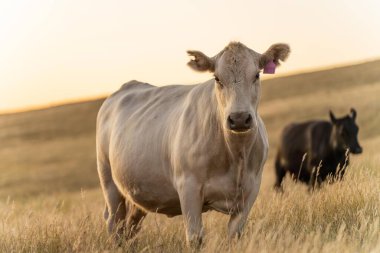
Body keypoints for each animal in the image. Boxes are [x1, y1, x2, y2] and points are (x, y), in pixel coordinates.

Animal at [96, 41, 290, 245]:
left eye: (256, 75)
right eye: (217, 78)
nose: (239, 118)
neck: (236, 155)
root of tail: (128, 86)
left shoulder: (251, 190)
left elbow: (234, 235)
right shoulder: (188, 187)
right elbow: (195, 237)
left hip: (137, 192)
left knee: (130, 226)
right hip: (109, 182)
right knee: (114, 223)